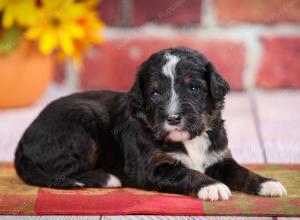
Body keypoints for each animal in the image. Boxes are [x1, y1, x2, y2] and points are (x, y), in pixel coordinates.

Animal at [15, 46, 288, 201]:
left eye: (193, 88)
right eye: (155, 93)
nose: (173, 118)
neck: (190, 140)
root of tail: (22, 142)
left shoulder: (220, 157)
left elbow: (241, 171)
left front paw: (268, 183)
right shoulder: (153, 167)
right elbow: (186, 171)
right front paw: (212, 187)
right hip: (81, 128)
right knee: (60, 173)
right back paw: (107, 178)